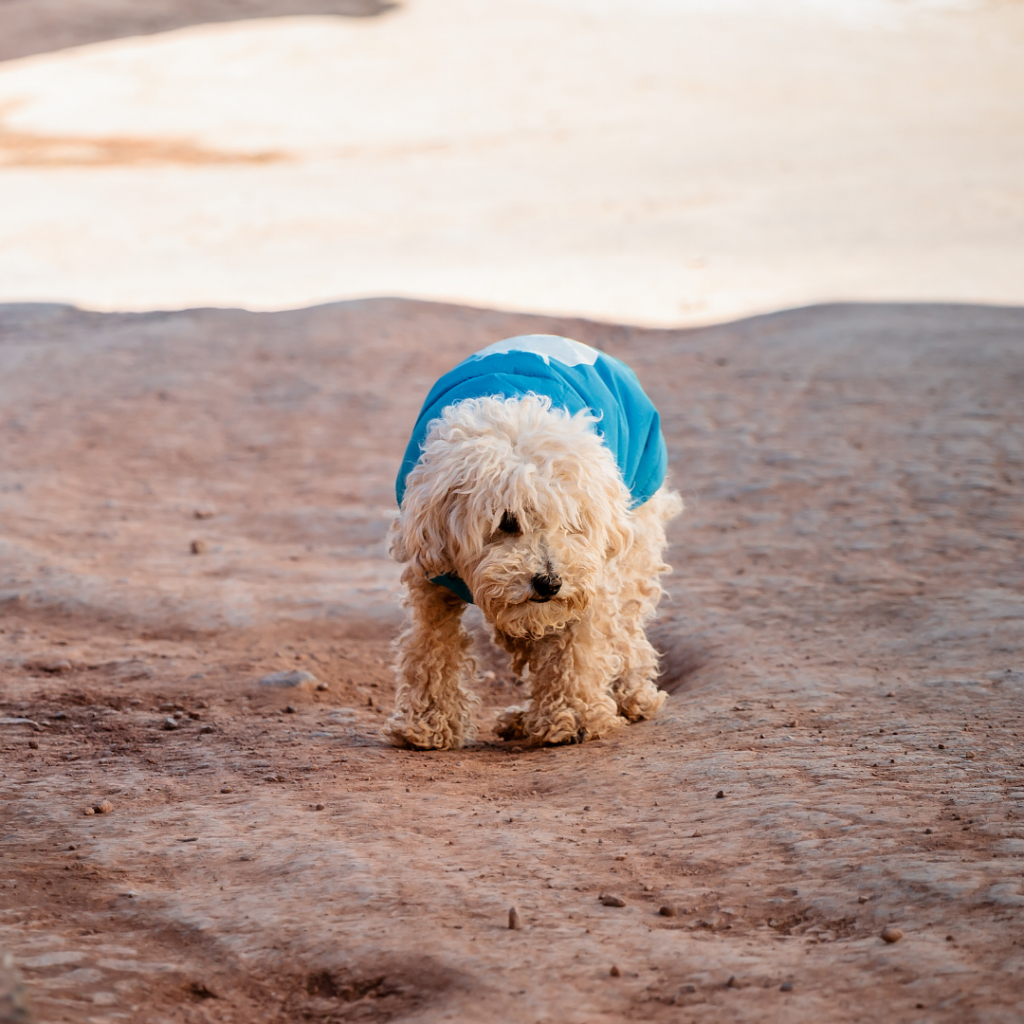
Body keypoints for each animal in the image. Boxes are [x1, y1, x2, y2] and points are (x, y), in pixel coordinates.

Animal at [385, 335, 679, 753]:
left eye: (573, 522)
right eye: (508, 522)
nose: (549, 582)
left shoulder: (588, 574)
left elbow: (578, 644)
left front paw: (573, 718)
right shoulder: (431, 572)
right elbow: (431, 643)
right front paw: (428, 721)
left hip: (638, 529)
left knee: (626, 624)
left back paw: (631, 693)